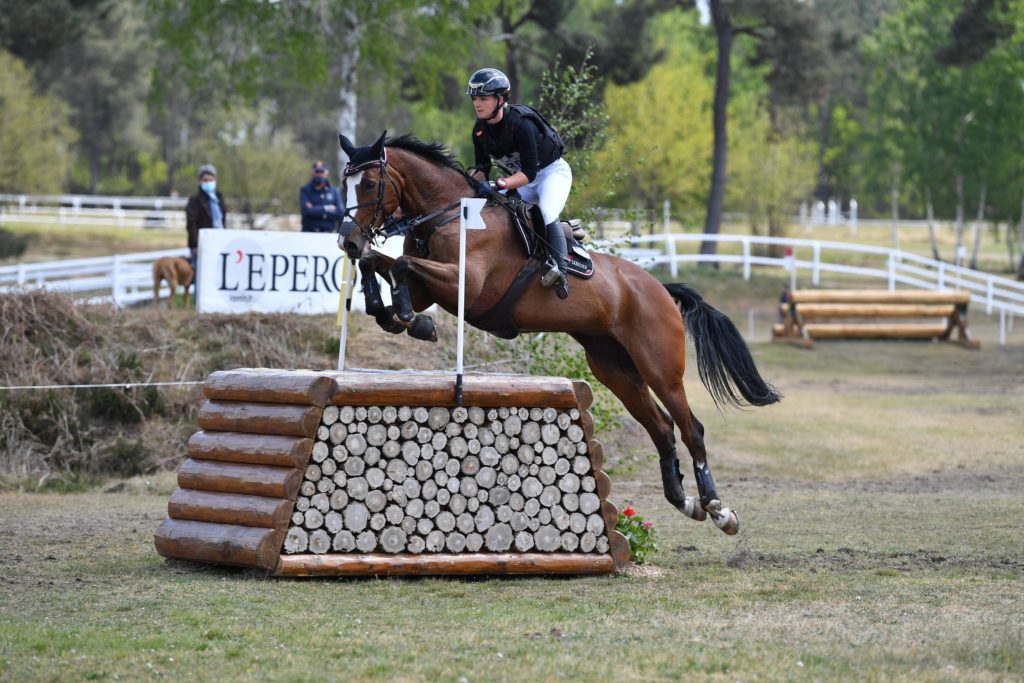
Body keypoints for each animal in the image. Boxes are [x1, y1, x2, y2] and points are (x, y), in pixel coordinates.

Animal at [339, 129, 778, 532]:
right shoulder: (429, 288)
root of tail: (660, 289)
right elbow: (383, 266)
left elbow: (399, 266)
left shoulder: (466, 283)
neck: (448, 214)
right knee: (662, 429)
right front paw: (395, 313)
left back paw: (718, 509)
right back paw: (684, 501)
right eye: (346, 183)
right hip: (615, 369)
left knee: (691, 430)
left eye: (370, 183)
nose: (347, 242)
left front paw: (410, 319)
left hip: (660, 368)